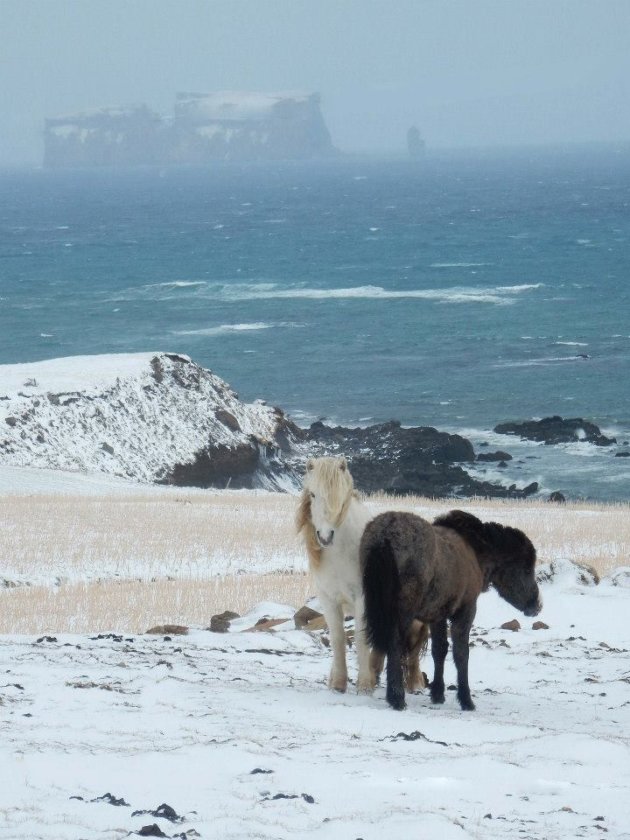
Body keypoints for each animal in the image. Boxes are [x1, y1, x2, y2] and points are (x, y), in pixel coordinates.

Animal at [298, 456, 430, 692]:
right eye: (312, 494)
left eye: (341, 497)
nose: (325, 536)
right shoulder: (328, 598)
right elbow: (338, 638)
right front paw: (338, 682)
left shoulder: (362, 597)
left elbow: (360, 638)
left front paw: (364, 684)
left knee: (413, 642)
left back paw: (414, 683)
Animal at [360, 508, 544, 712]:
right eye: (527, 569)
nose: (537, 605)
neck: (475, 551)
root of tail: (385, 535)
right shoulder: (466, 610)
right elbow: (461, 653)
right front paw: (466, 699)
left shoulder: (437, 615)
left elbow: (439, 650)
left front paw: (438, 694)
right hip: (403, 611)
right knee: (395, 644)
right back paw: (397, 697)